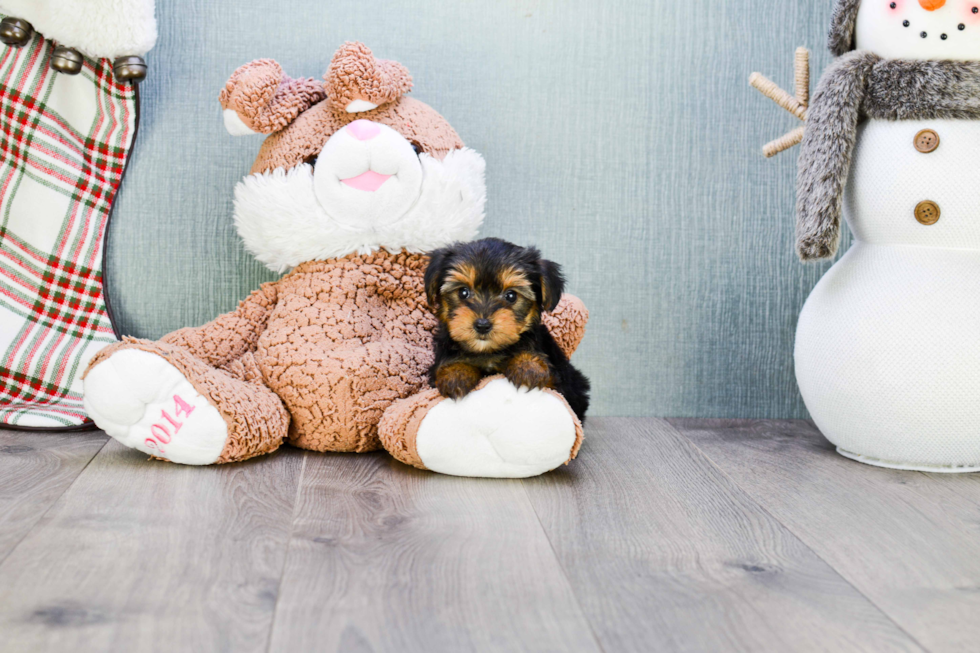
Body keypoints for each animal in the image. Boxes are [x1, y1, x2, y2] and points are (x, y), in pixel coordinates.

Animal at [424, 237, 588, 420]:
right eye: (463, 292)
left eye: (511, 296)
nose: (482, 325)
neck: (489, 352)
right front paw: (456, 373)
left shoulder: (556, 381)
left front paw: (528, 366)